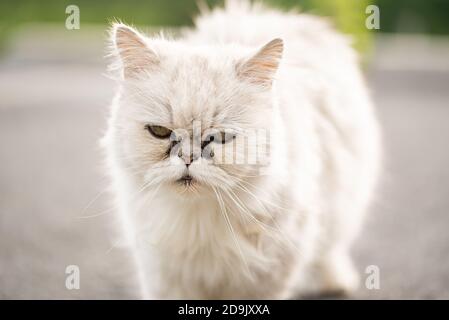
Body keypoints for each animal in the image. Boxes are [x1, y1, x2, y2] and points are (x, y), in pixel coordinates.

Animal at [103, 0, 380, 300]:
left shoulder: (270, 271)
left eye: (220, 138)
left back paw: (337, 282)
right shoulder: (164, 275)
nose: (188, 158)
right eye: (160, 132)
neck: (199, 220)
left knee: (331, 249)